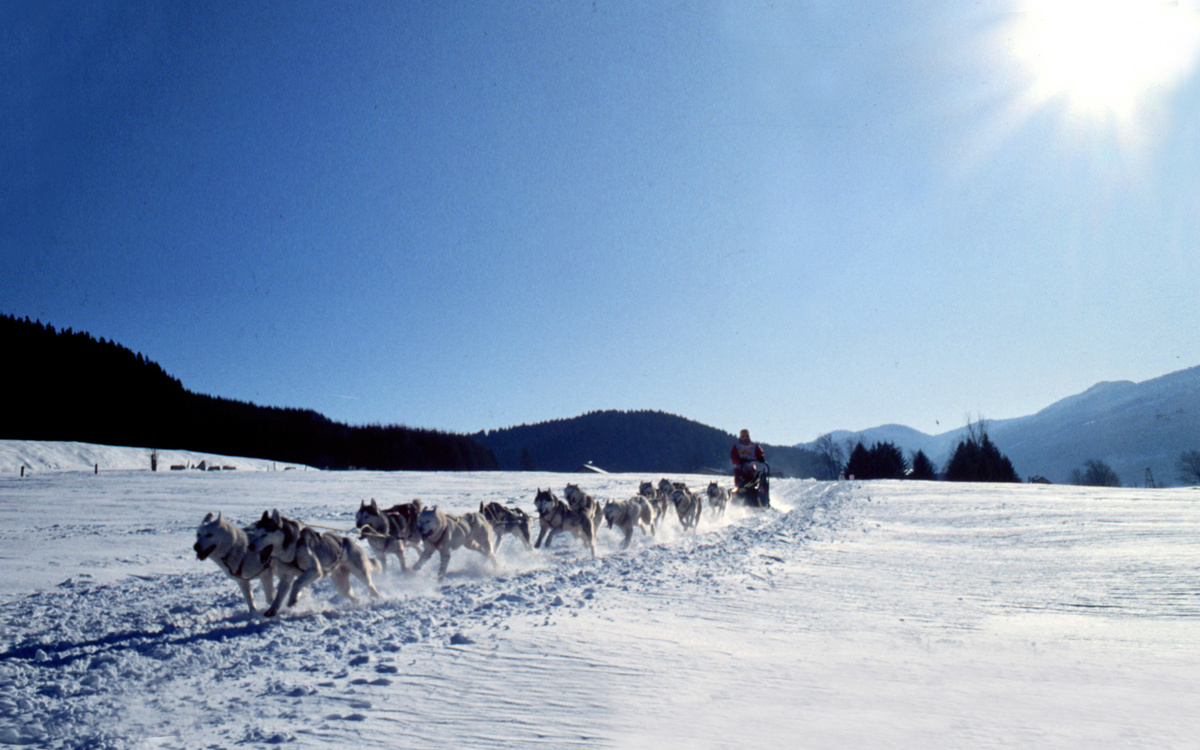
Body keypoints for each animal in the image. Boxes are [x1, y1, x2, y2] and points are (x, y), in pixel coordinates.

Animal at [247, 509, 381, 618]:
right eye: (254, 534)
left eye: (264, 534)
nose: (250, 546)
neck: (293, 546)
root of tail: (351, 542)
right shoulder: (286, 576)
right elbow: (279, 596)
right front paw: (272, 610)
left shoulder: (315, 571)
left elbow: (297, 582)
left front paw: (292, 599)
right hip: (342, 586)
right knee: (353, 596)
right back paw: (357, 604)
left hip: (362, 574)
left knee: (371, 587)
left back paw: (378, 599)